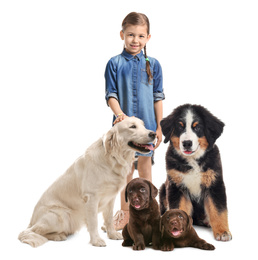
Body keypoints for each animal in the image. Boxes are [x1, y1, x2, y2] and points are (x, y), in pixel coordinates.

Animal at [159, 103, 232, 242]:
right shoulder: (177, 187)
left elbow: (218, 210)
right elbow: (179, 209)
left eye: (197, 127)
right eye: (180, 126)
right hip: (163, 189)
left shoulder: (215, 184)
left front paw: (222, 231)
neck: (192, 161)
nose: (187, 143)